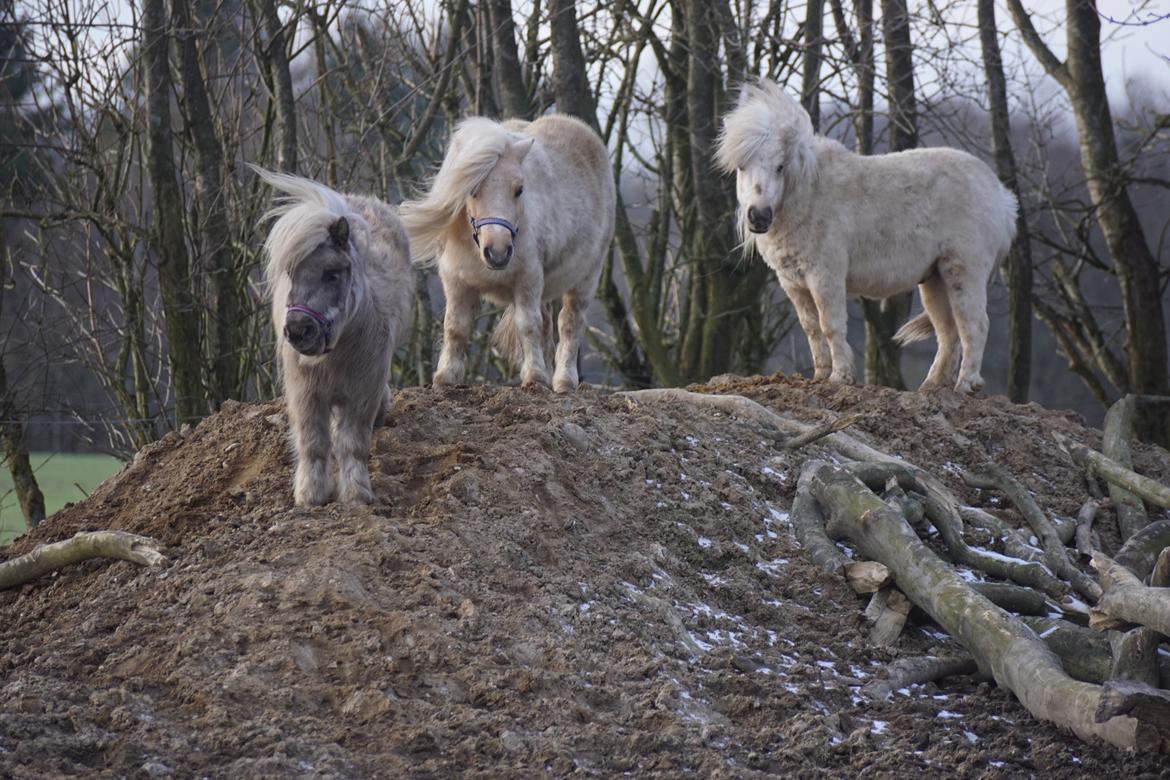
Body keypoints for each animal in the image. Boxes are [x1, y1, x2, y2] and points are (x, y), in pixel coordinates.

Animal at [253, 167, 414, 507]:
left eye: (332, 274)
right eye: (290, 273)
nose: (298, 330)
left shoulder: (362, 391)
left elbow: (351, 443)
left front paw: (356, 493)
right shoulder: (306, 394)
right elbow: (313, 443)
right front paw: (310, 494)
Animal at [400, 113, 617, 392]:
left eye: (519, 189)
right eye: (472, 189)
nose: (498, 252)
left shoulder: (527, 278)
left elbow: (528, 325)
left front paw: (534, 377)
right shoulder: (456, 281)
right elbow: (455, 327)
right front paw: (446, 377)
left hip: (586, 278)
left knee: (569, 323)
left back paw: (563, 381)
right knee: (548, 324)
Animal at [711, 78, 1015, 392]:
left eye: (780, 166)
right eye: (741, 166)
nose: (758, 217)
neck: (809, 195)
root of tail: (1000, 195)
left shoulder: (825, 276)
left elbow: (830, 325)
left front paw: (840, 377)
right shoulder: (793, 283)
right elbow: (811, 328)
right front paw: (820, 375)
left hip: (964, 271)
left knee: (974, 325)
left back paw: (966, 385)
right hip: (935, 279)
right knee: (948, 332)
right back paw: (932, 386)